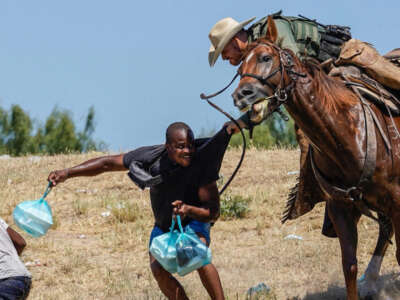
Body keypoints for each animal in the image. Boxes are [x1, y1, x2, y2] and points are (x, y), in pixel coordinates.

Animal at [231, 17, 400, 300]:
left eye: (266, 57)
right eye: (240, 64)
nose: (241, 95)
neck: (346, 131)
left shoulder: (397, 200)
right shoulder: (340, 207)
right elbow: (349, 265)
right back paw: (370, 280)